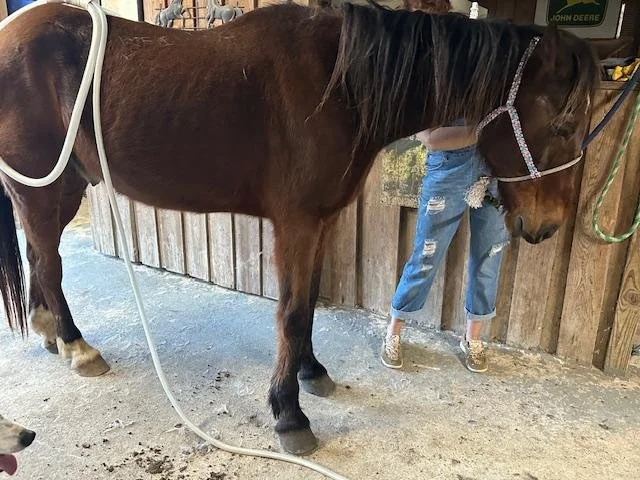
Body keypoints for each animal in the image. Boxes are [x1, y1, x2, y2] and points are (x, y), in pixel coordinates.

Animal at [0, 2, 599, 455]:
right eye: (562, 122)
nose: (546, 227)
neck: (338, 85)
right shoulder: (296, 225)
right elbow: (289, 313)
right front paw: (290, 415)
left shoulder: (322, 223)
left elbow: (308, 303)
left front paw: (312, 373)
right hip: (39, 188)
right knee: (49, 263)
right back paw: (78, 347)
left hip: (61, 186)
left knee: (39, 258)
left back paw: (52, 334)